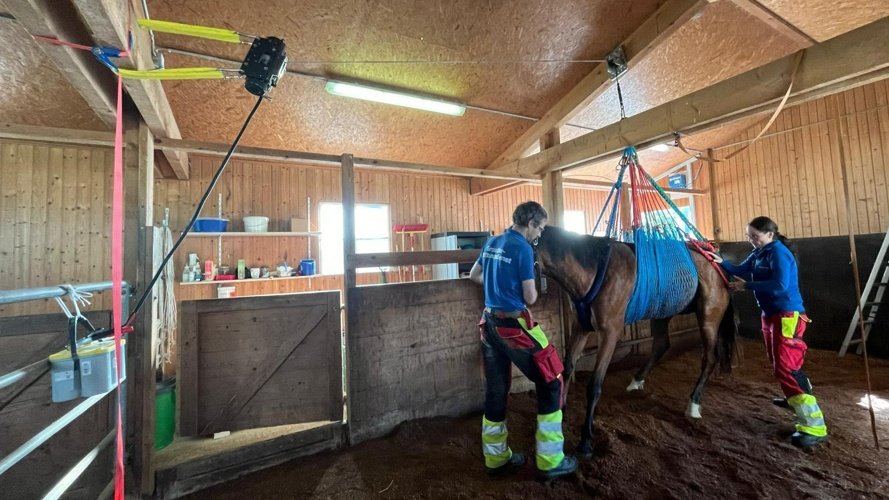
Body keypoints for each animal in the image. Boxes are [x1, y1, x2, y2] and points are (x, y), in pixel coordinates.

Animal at [536, 225, 736, 458]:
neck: (593, 269)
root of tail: (716, 262)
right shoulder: (580, 327)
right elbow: (567, 370)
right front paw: (561, 412)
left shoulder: (610, 332)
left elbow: (594, 385)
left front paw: (586, 441)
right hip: (663, 312)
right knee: (661, 346)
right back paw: (637, 381)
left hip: (709, 319)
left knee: (709, 359)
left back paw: (693, 403)